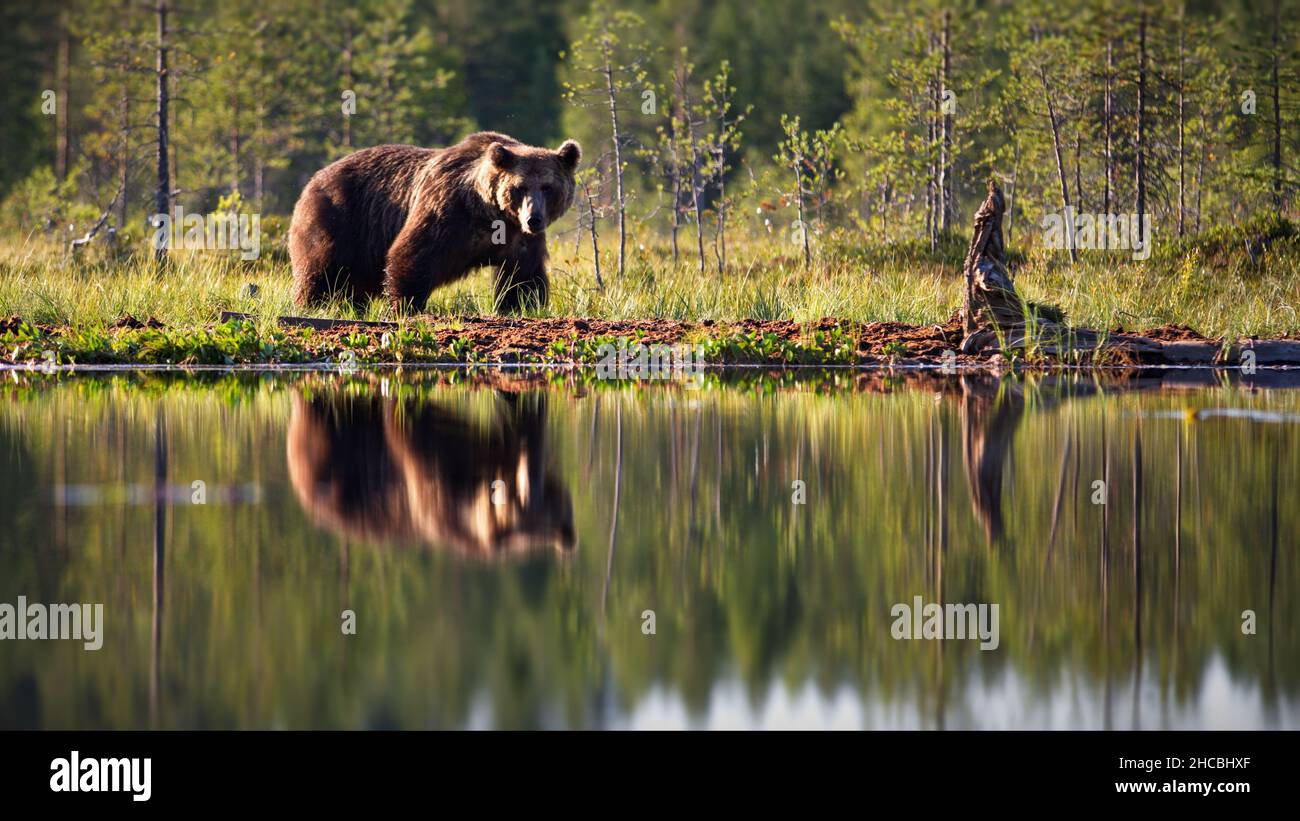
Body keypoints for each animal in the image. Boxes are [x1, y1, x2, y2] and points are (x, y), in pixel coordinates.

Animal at [295, 131, 585, 310]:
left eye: (548, 187)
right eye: (520, 187)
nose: (534, 219)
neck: (491, 213)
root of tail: (315, 177)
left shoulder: (519, 238)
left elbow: (523, 278)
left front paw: (520, 305)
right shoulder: (445, 211)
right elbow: (413, 255)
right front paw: (404, 305)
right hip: (339, 217)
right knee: (321, 270)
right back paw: (312, 304)